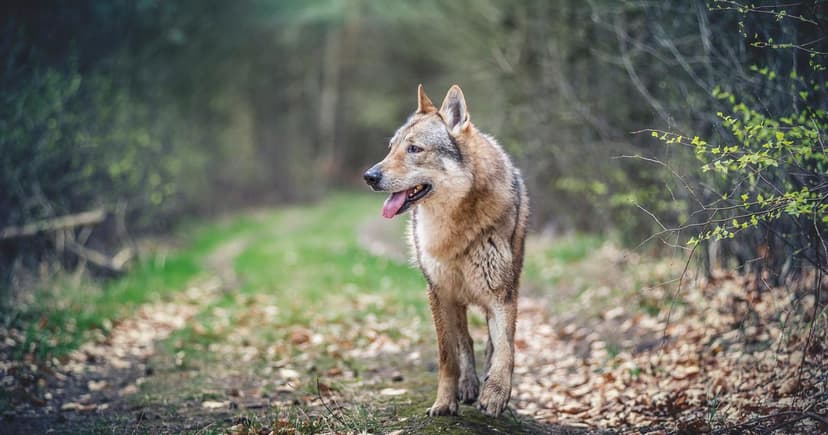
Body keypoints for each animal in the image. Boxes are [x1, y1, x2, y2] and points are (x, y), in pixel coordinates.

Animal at [363, 84, 528, 417]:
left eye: (414, 149)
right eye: (391, 148)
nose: (369, 176)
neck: (454, 228)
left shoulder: (501, 293)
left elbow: (506, 347)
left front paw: (496, 394)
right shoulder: (438, 293)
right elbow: (447, 356)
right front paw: (444, 402)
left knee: (490, 344)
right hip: (454, 297)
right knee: (465, 340)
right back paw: (468, 385)